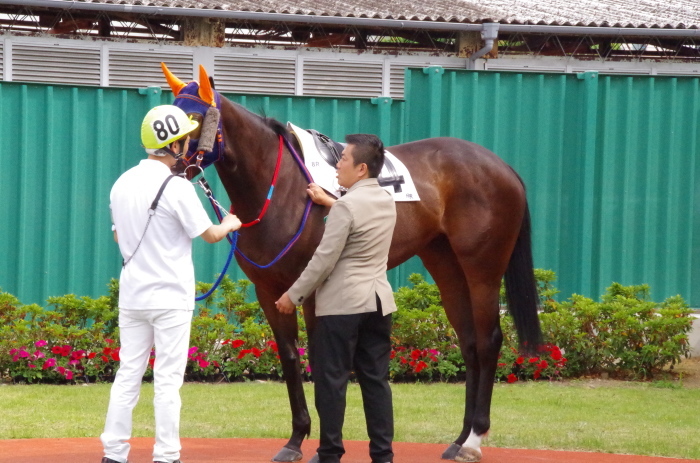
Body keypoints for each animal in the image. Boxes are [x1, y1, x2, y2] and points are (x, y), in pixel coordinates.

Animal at [163, 65, 540, 463]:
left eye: (193, 118)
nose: (166, 162)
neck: (278, 187)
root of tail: (502, 167)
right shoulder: (270, 291)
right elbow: (290, 358)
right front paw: (296, 440)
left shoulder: (313, 290)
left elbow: (322, 360)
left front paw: (323, 445)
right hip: (446, 266)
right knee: (468, 343)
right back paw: (459, 438)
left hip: (483, 269)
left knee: (488, 341)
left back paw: (474, 439)